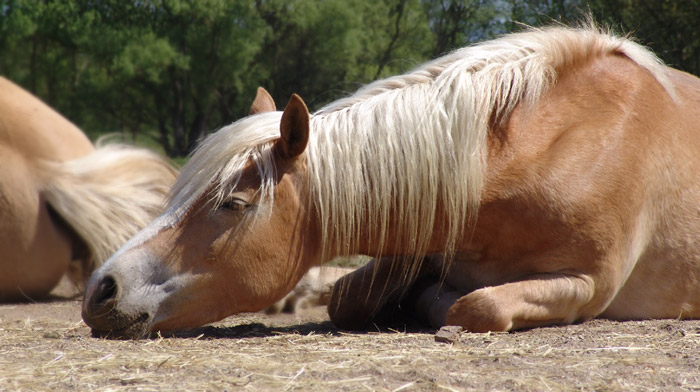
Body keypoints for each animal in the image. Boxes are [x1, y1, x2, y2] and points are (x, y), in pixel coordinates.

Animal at [83, 24, 700, 338]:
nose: (100, 290)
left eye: (233, 203)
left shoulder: (589, 284)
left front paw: (431, 304)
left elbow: (476, 307)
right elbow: (344, 296)